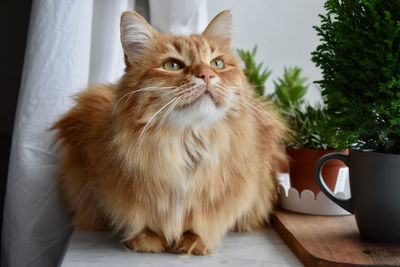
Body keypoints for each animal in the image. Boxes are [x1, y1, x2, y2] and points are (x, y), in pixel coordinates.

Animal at [51, 10, 286, 256]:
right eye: (172, 65)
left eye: (217, 63)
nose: (207, 75)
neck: (186, 142)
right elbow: (141, 219)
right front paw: (147, 239)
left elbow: (203, 222)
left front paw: (194, 242)